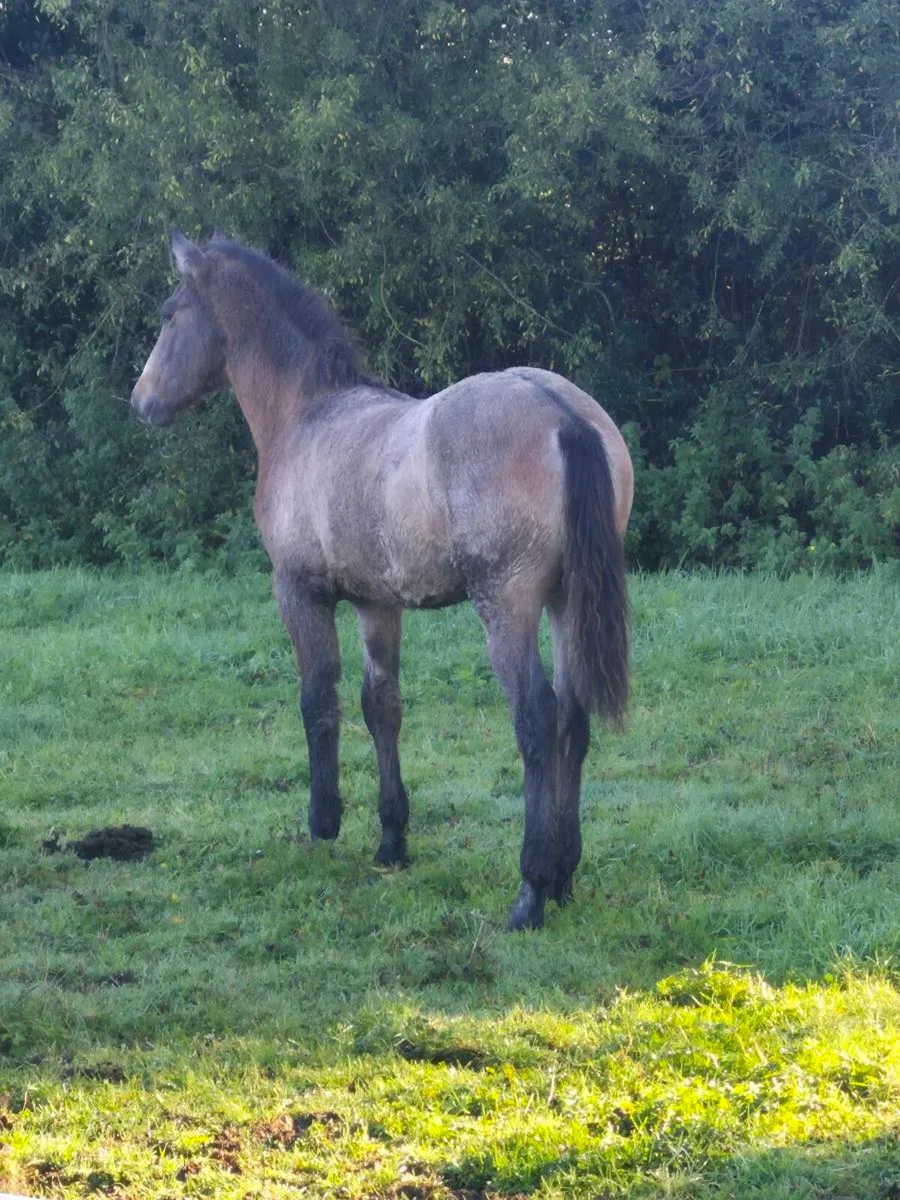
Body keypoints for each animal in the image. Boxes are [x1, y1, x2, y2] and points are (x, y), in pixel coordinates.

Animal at [131, 229, 633, 931]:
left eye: (170, 313)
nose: (141, 401)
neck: (307, 414)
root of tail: (562, 413)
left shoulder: (299, 592)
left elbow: (318, 700)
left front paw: (324, 823)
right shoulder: (376, 603)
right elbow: (382, 708)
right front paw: (392, 839)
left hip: (507, 604)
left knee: (537, 717)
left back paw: (531, 891)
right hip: (566, 603)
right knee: (572, 720)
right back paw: (562, 877)